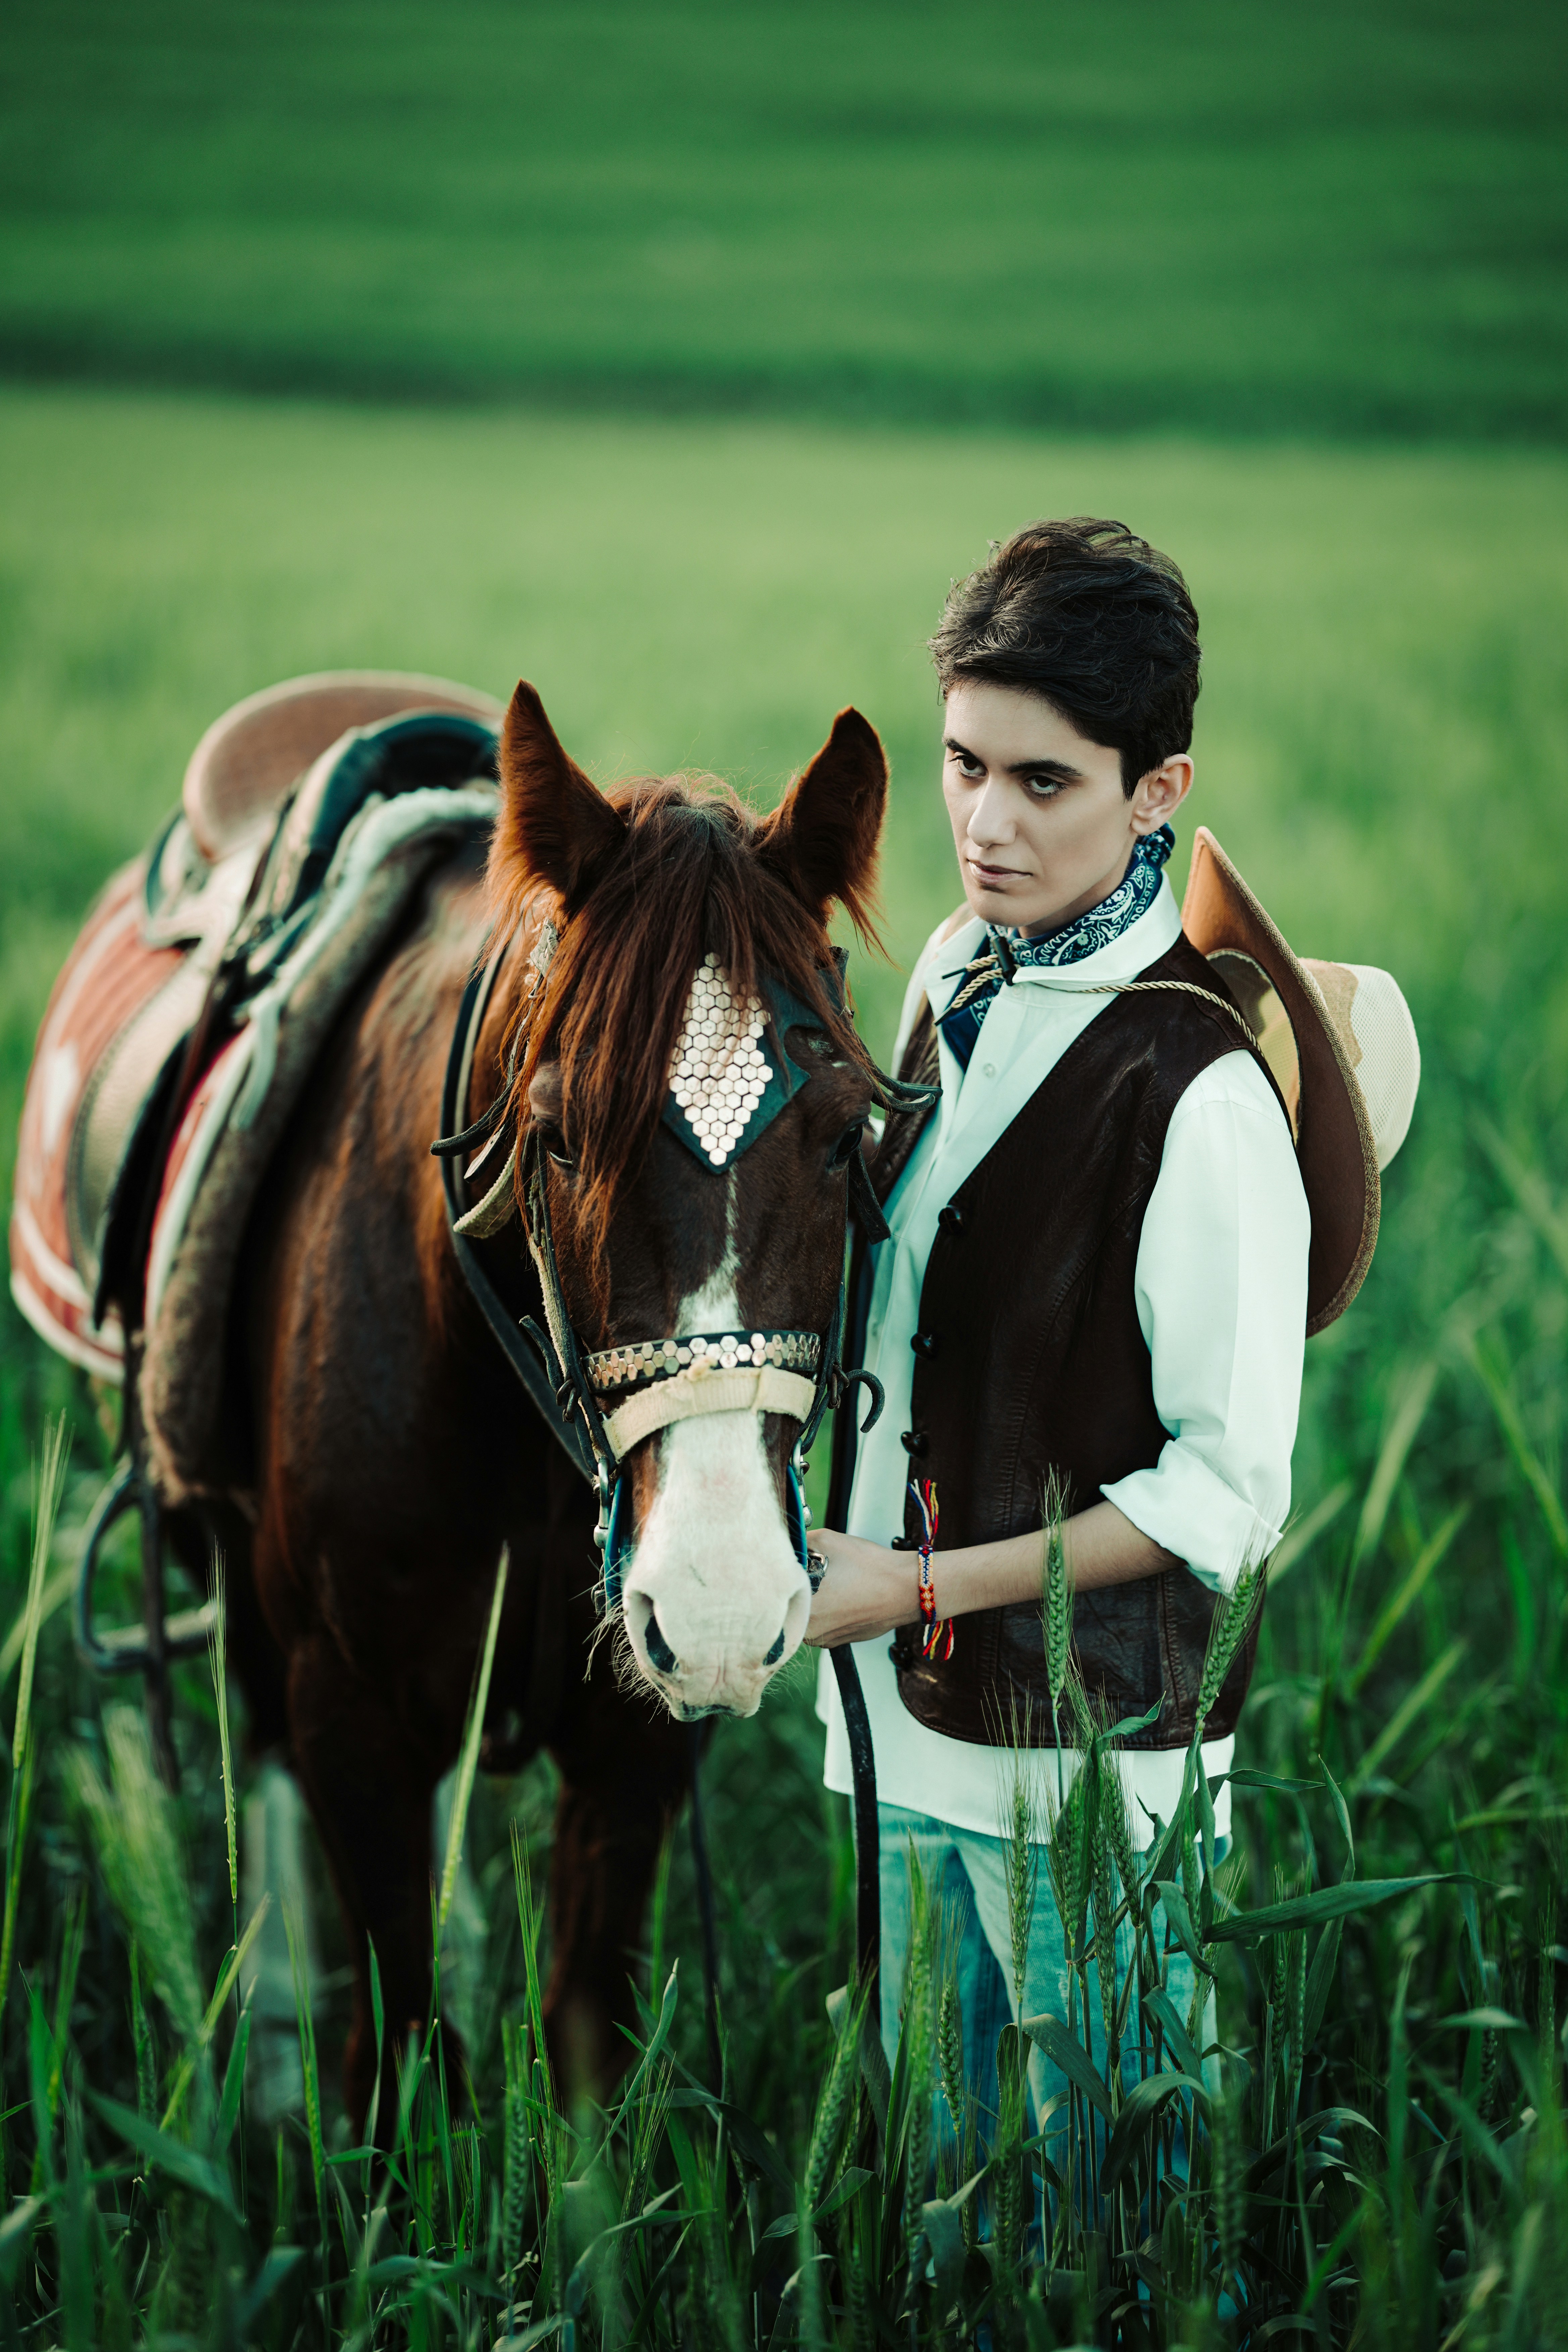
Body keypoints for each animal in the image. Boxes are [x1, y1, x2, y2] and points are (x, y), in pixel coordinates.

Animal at [202, 681, 888, 2122]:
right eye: (560, 1136)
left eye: (842, 1132)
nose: (722, 1602)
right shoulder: (348, 1713)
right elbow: (402, 2048)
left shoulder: (633, 1743)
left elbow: (588, 2038)